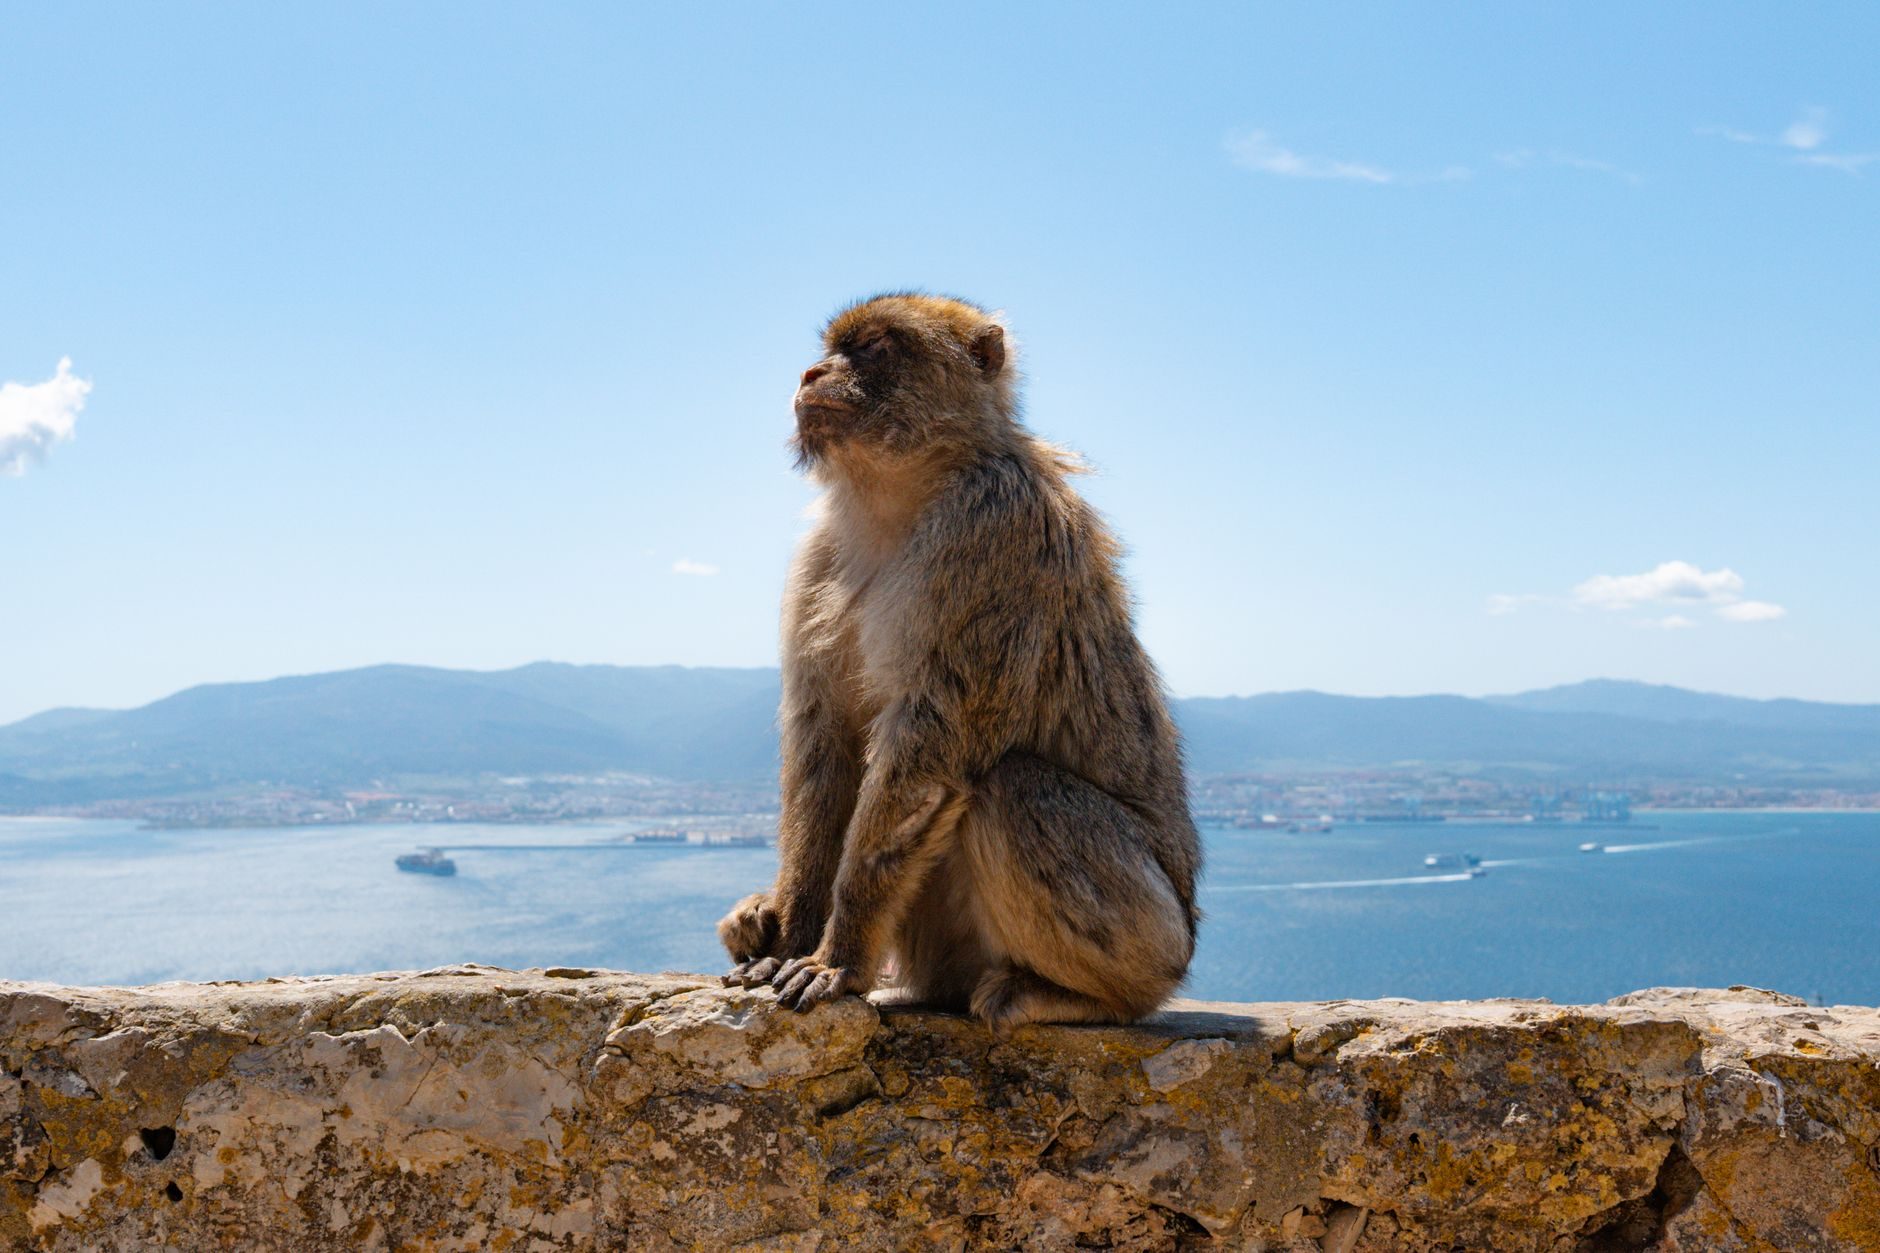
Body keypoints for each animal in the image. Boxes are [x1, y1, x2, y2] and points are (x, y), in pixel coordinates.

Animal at [718, 293, 1201, 1036]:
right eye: (832, 350)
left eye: (874, 348)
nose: (810, 374)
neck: (899, 495)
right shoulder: (815, 558)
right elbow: (823, 742)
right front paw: (789, 934)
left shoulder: (992, 526)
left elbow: (930, 746)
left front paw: (840, 957)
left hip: (1153, 939)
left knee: (1014, 789)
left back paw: (1083, 999)